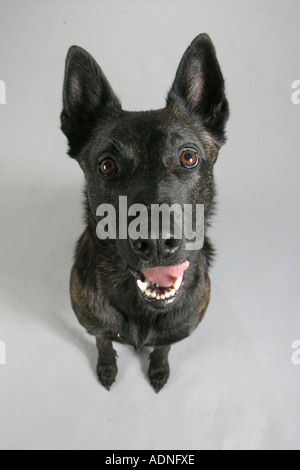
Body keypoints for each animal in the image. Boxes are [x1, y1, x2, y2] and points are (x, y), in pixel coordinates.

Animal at [61, 34, 230, 392]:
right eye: (107, 166)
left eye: (188, 158)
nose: (154, 243)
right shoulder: (94, 325)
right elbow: (103, 342)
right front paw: (107, 366)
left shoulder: (175, 332)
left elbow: (163, 347)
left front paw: (158, 368)